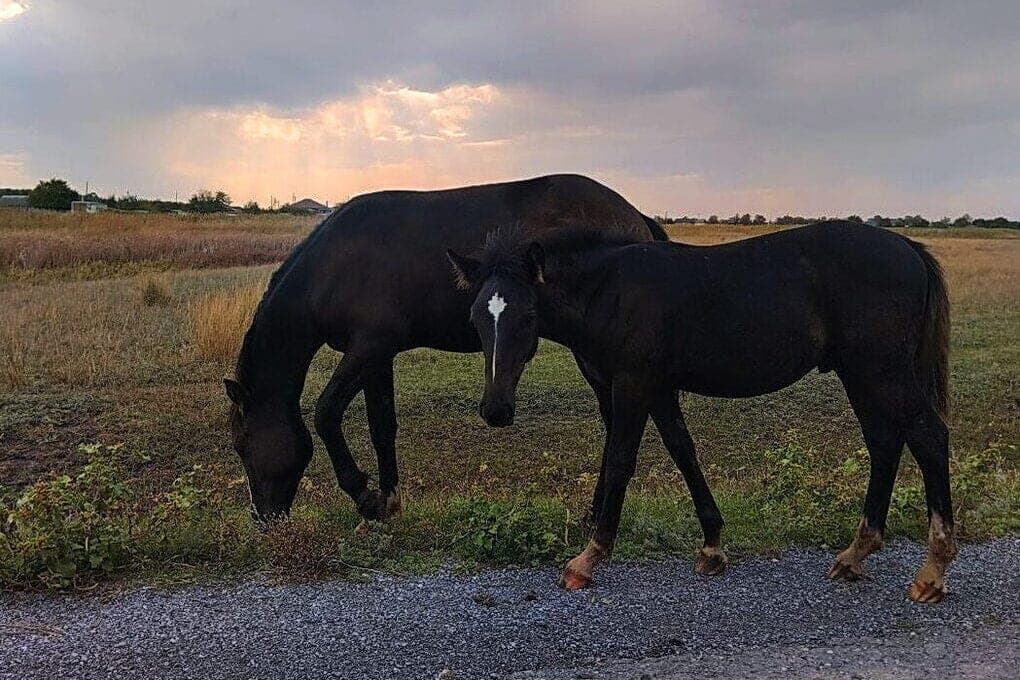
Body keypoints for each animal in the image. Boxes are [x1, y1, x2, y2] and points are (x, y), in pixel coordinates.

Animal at [223, 174, 668, 525]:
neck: (334, 266)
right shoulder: (377, 354)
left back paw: (596, 515)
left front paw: (366, 499)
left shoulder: (366, 349)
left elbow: (325, 413)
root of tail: (638, 218)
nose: (261, 518)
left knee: (614, 422)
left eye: (242, 446)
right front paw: (389, 503)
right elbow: (381, 426)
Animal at [447, 221, 956, 603]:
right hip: (861, 373)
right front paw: (712, 546)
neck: (610, 291)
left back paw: (931, 572)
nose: (496, 410)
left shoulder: (633, 384)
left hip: (882, 372)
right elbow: (683, 451)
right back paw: (855, 554)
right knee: (885, 443)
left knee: (929, 438)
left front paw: (588, 559)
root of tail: (908, 248)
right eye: (476, 317)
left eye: (527, 316)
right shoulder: (658, 388)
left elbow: (620, 461)